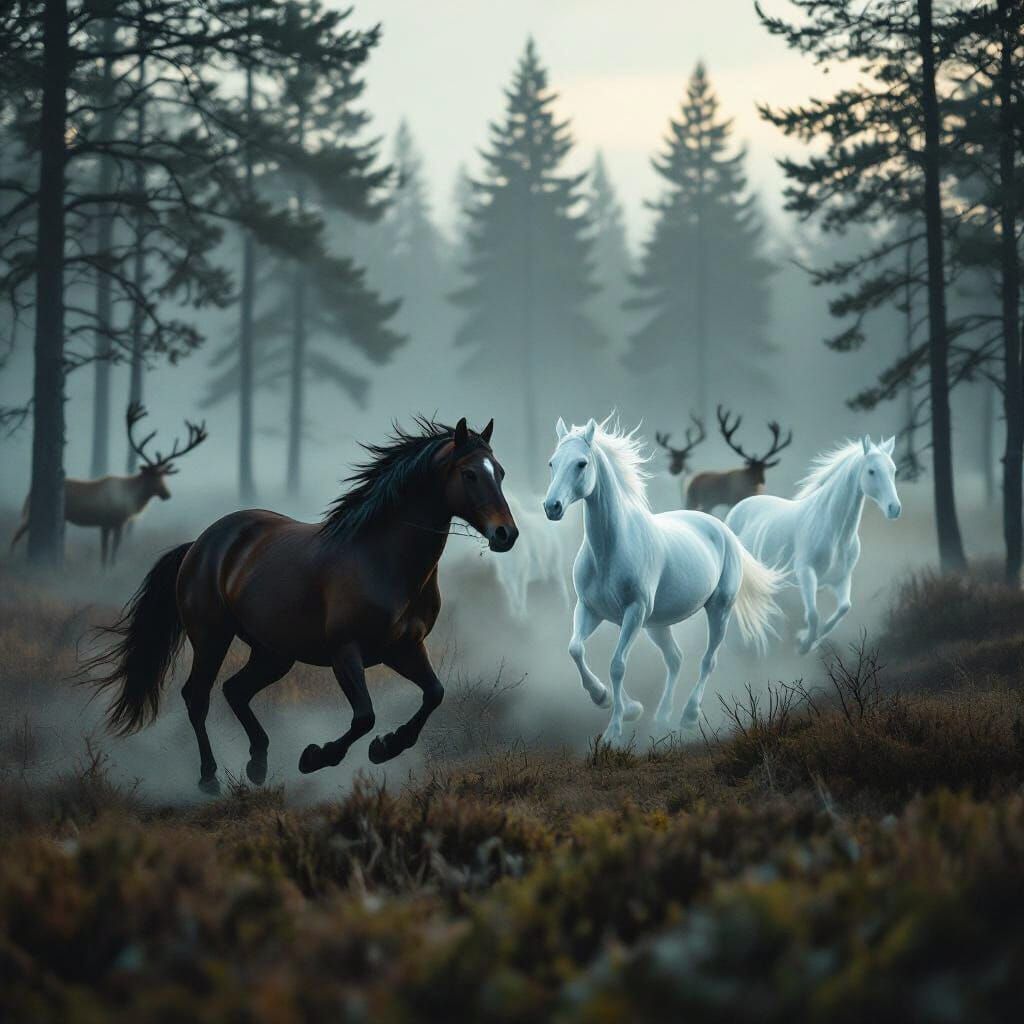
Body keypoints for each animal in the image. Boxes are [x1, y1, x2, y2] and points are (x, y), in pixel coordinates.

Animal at [83, 417, 518, 792]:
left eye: (500, 472)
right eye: (469, 474)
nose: (506, 534)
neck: (383, 560)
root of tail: (201, 544)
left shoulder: (405, 648)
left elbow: (434, 694)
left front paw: (388, 746)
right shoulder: (346, 652)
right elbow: (364, 716)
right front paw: (317, 757)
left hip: (274, 653)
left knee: (235, 690)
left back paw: (258, 763)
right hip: (211, 637)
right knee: (198, 696)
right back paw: (209, 777)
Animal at [543, 416, 784, 745]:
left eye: (581, 463)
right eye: (552, 463)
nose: (551, 507)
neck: (610, 550)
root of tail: (723, 529)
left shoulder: (634, 612)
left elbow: (617, 665)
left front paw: (614, 731)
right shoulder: (590, 609)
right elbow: (576, 649)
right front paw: (611, 701)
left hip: (719, 608)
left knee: (708, 660)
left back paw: (688, 716)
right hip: (657, 624)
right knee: (675, 658)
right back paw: (660, 718)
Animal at [725, 435, 901, 655]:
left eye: (893, 470)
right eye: (871, 471)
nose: (894, 508)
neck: (835, 534)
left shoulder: (841, 579)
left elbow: (844, 608)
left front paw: (811, 640)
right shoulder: (806, 573)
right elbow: (813, 614)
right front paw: (803, 645)